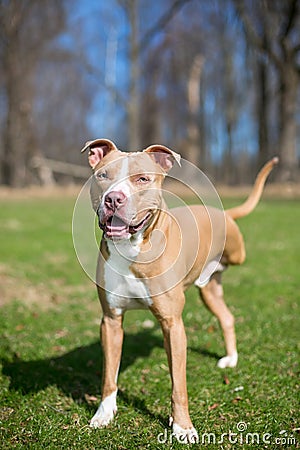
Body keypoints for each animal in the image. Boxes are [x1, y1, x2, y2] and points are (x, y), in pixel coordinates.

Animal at [81, 138, 278, 442]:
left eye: (142, 179)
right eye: (103, 176)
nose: (113, 198)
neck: (133, 247)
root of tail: (222, 213)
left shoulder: (172, 324)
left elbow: (178, 385)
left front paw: (182, 426)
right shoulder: (111, 321)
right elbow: (109, 375)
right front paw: (104, 414)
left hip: (236, 252)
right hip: (209, 293)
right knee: (226, 316)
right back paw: (231, 358)